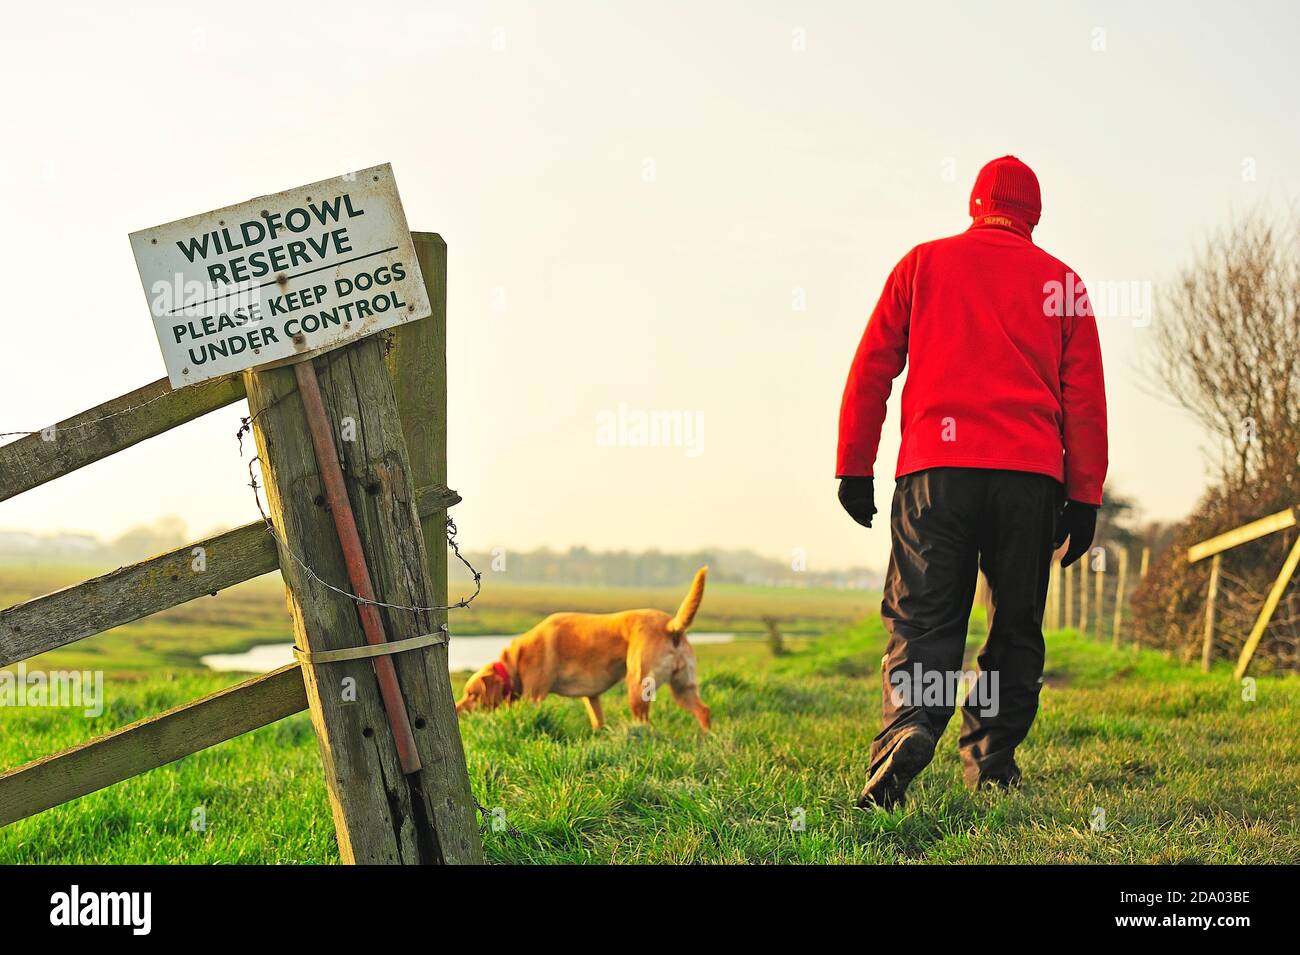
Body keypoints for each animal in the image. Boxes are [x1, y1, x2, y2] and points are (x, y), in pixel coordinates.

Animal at [454, 566, 712, 732]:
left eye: (472, 695)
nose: (456, 710)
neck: (516, 662)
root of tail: (671, 626)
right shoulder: (592, 697)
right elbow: (598, 722)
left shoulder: (533, 697)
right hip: (683, 688)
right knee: (704, 710)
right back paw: (706, 739)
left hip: (638, 687)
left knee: (645, 723)